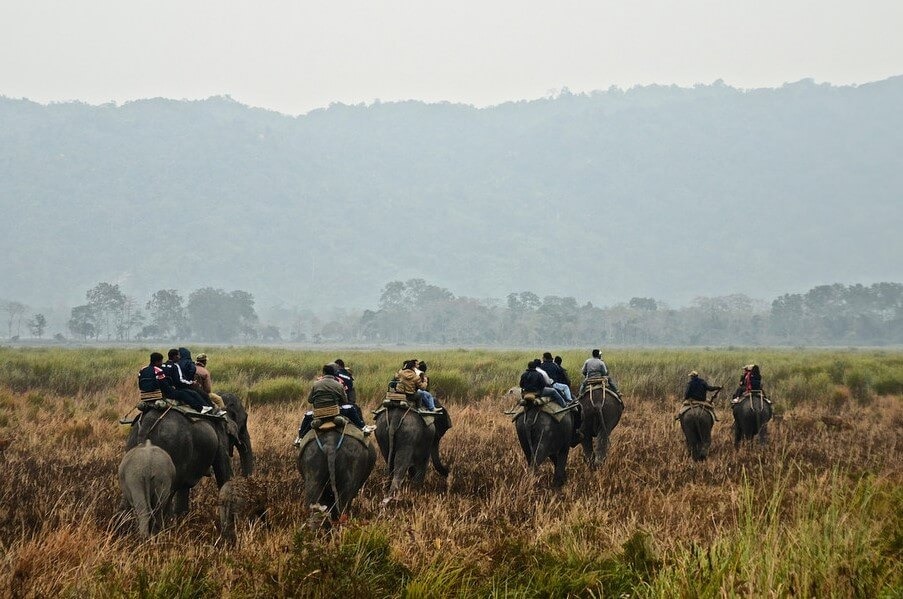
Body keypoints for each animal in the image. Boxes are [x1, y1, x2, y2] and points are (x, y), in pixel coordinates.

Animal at [122, 394, 251, 516]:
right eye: (244, 421)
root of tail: (147, 423)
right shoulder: (220, 433)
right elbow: (224, 476)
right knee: (166, 497)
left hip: (132, 444)